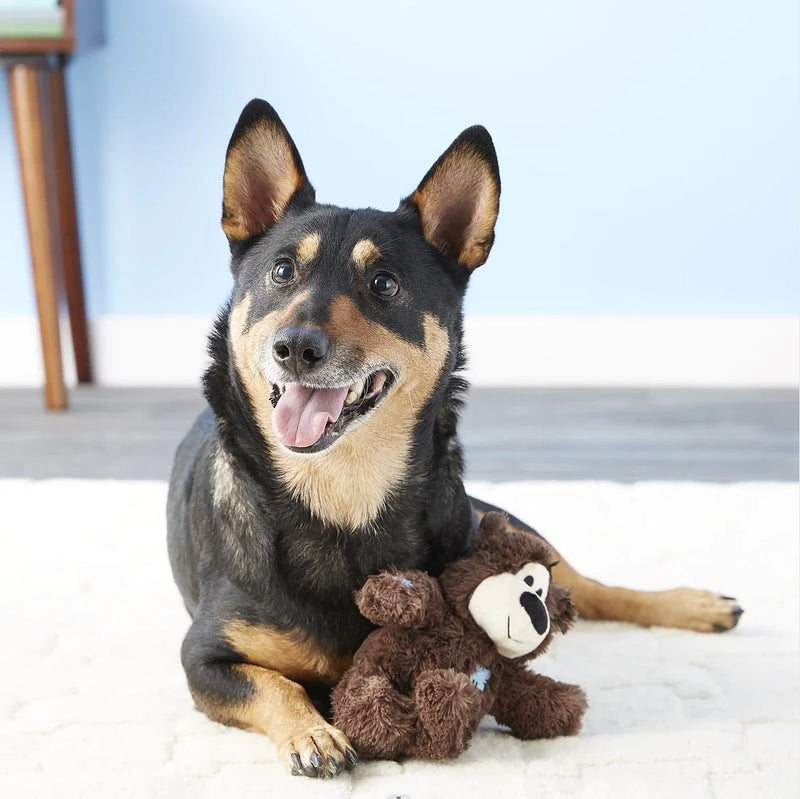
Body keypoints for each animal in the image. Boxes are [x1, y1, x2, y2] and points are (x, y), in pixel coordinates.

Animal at [169, 97, 744, 780]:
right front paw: (313, 734)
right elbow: (274, 684)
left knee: (595, 587)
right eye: (283, 271)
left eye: (384, 284)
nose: (295, 348)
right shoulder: (203, 657)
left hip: (499, 522)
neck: (342, 495)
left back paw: (694, 604)